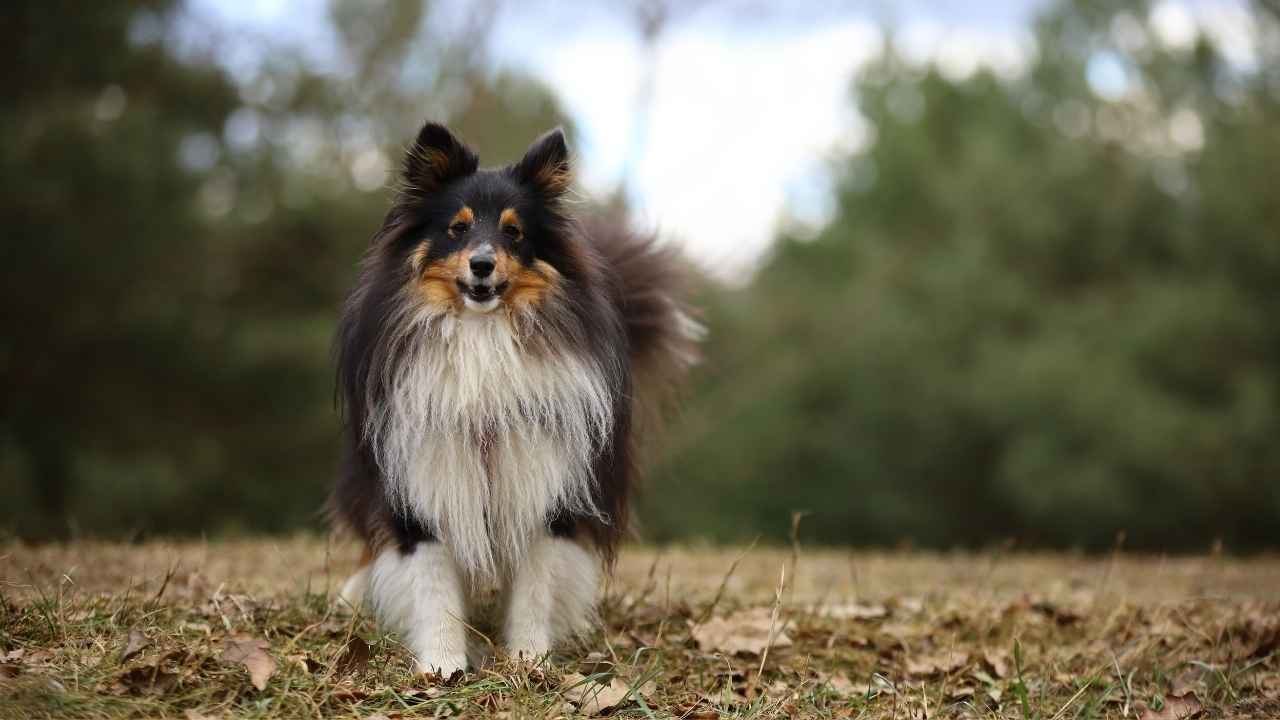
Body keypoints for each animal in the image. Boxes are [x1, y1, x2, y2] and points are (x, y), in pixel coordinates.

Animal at [325, 122, 696, 671]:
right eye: (456, 229)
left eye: (514, 232)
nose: (482, 265)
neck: (484, 336)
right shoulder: (423, 475)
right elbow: (431, 581)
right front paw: (442, 665)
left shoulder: (545, 478)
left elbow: (535, 585)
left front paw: (529, 661)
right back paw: (353, 595)